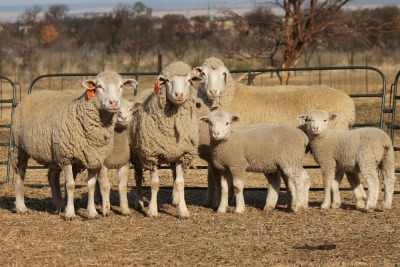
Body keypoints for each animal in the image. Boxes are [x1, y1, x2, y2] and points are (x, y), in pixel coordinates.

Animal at [10, 71, 136, 220]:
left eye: (121, 86)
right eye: (99, 86)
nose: (114, 103)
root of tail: (29, 95)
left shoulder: (94, 158)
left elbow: (91, 185)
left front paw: (92, 213)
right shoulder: (66, 157)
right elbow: (70, 185)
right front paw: (70, 214)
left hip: (54, 154)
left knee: (52, 176)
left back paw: (58, 206)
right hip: (19, 148)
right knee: (19, 176)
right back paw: (21, 207)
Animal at [130, 61, 200, 219]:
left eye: (189, 80)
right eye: (167, 80)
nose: (179, 94)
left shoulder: (183, 155)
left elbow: (180, 183)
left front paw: (183, 211)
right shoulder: (152, 156)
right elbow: (155, 184)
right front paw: (152, 211)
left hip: (173, 155)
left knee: (174, 176)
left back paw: (175, 200)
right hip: (136, 154)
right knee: (138, 177)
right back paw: (139, 202)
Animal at [194, 56, 356, 208]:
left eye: (223, 74)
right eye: (203, 74)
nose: (213, 91)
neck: (231, 97)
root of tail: (349, 103)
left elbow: (219, 178)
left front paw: (221, 201)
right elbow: (211, 177)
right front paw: (210, 201)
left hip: (332, 143)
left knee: (337, 172)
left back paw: (332, 202)